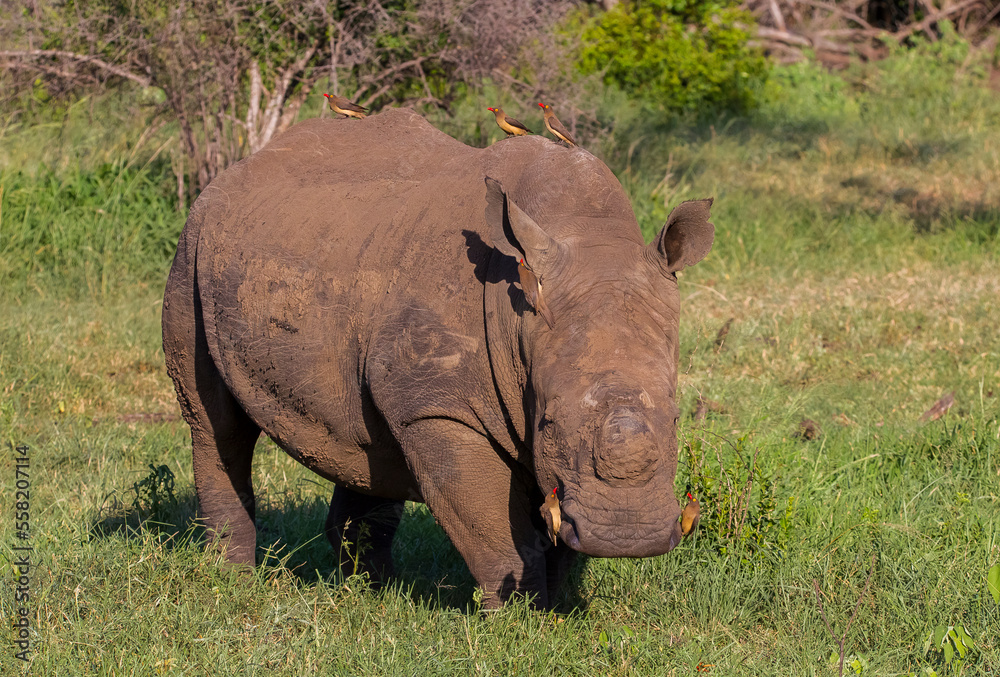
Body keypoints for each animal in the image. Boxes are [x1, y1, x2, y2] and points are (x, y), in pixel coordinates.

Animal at [162, 108, 714, 609]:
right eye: (549, 424)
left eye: (676, 419)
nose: (629, 537)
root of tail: (237, 168)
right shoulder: (438, 407)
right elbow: (492, 526)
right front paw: (518, 617)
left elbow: (552, 527)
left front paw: (554, 611)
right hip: (191, 247)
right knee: (214, 425)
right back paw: (232, 579)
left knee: (366, 437)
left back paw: (372, 591)